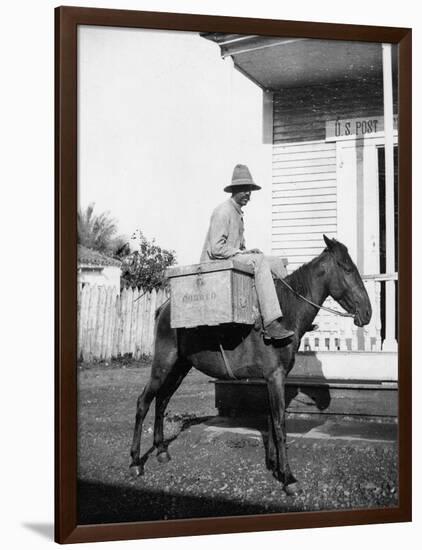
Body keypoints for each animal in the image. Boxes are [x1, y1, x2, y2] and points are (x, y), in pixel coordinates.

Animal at [129, 235, 372, 494]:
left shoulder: (271, 379)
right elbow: (279, 424)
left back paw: (161, 451)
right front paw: (288, 478)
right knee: (144, 402)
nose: (368, 313)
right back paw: (135, 462)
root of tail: (164, 308)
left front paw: (275, 465)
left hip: (179, 367)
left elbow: (271, 420)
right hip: (163, 364)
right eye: (347, 268)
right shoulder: (275, 377)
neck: (286, 313)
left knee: (162, 401)